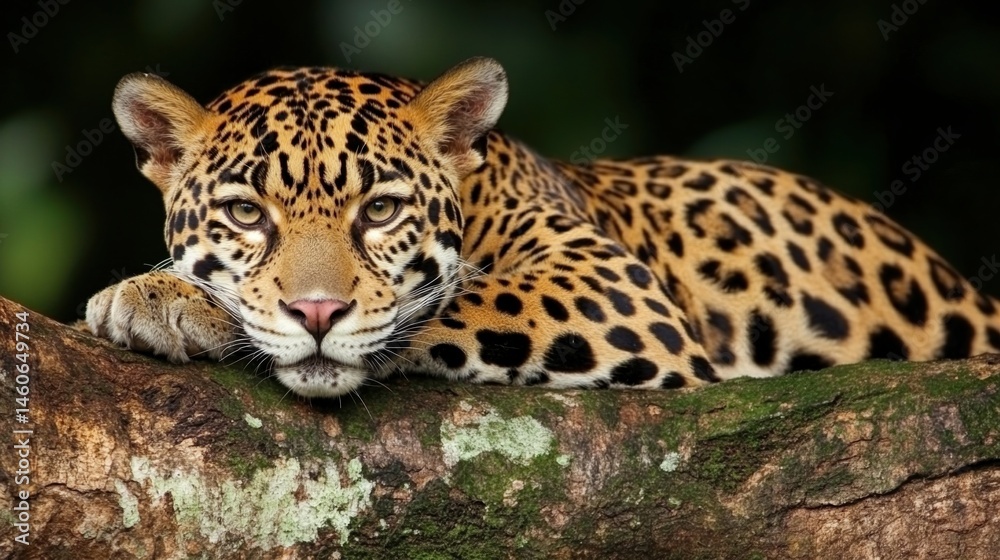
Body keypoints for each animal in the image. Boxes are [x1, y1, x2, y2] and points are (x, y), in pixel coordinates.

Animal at [84, 57, 1000, 398]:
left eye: (379, 210)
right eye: (248, 213)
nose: (316, 313)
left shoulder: (610, 284)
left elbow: (450, 306)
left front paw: (175, 302)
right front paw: (164, 290)